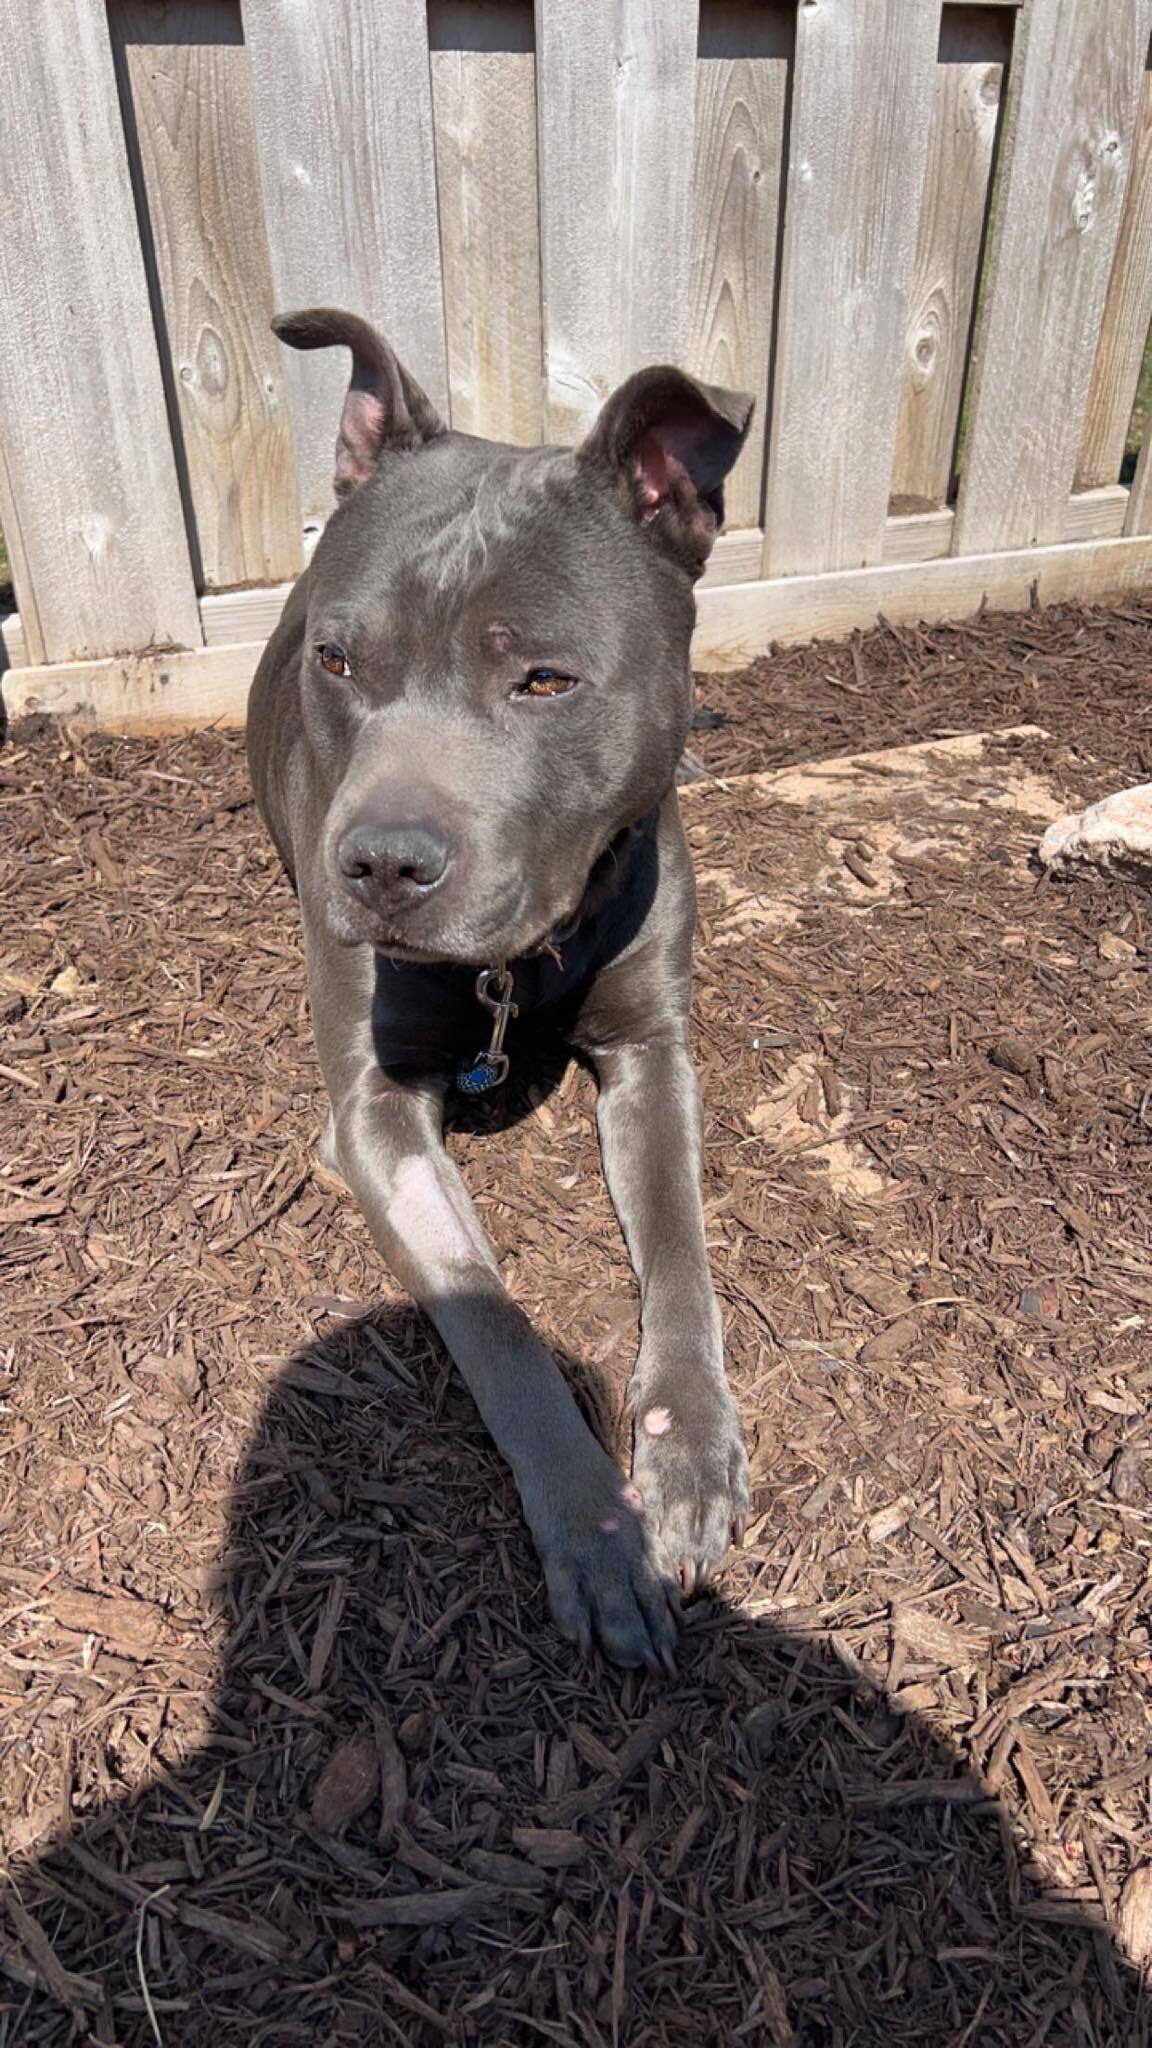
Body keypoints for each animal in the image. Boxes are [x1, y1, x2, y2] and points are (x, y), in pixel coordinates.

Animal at [249, 311, 754, 1671]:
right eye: (339, 659)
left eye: (544, 681)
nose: (378, 864)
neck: (517, 960)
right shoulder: (371, 1114)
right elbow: (501, 1325)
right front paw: (598, 1533)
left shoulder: (654, 1052)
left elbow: (682, 1244)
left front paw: (686, 1449)